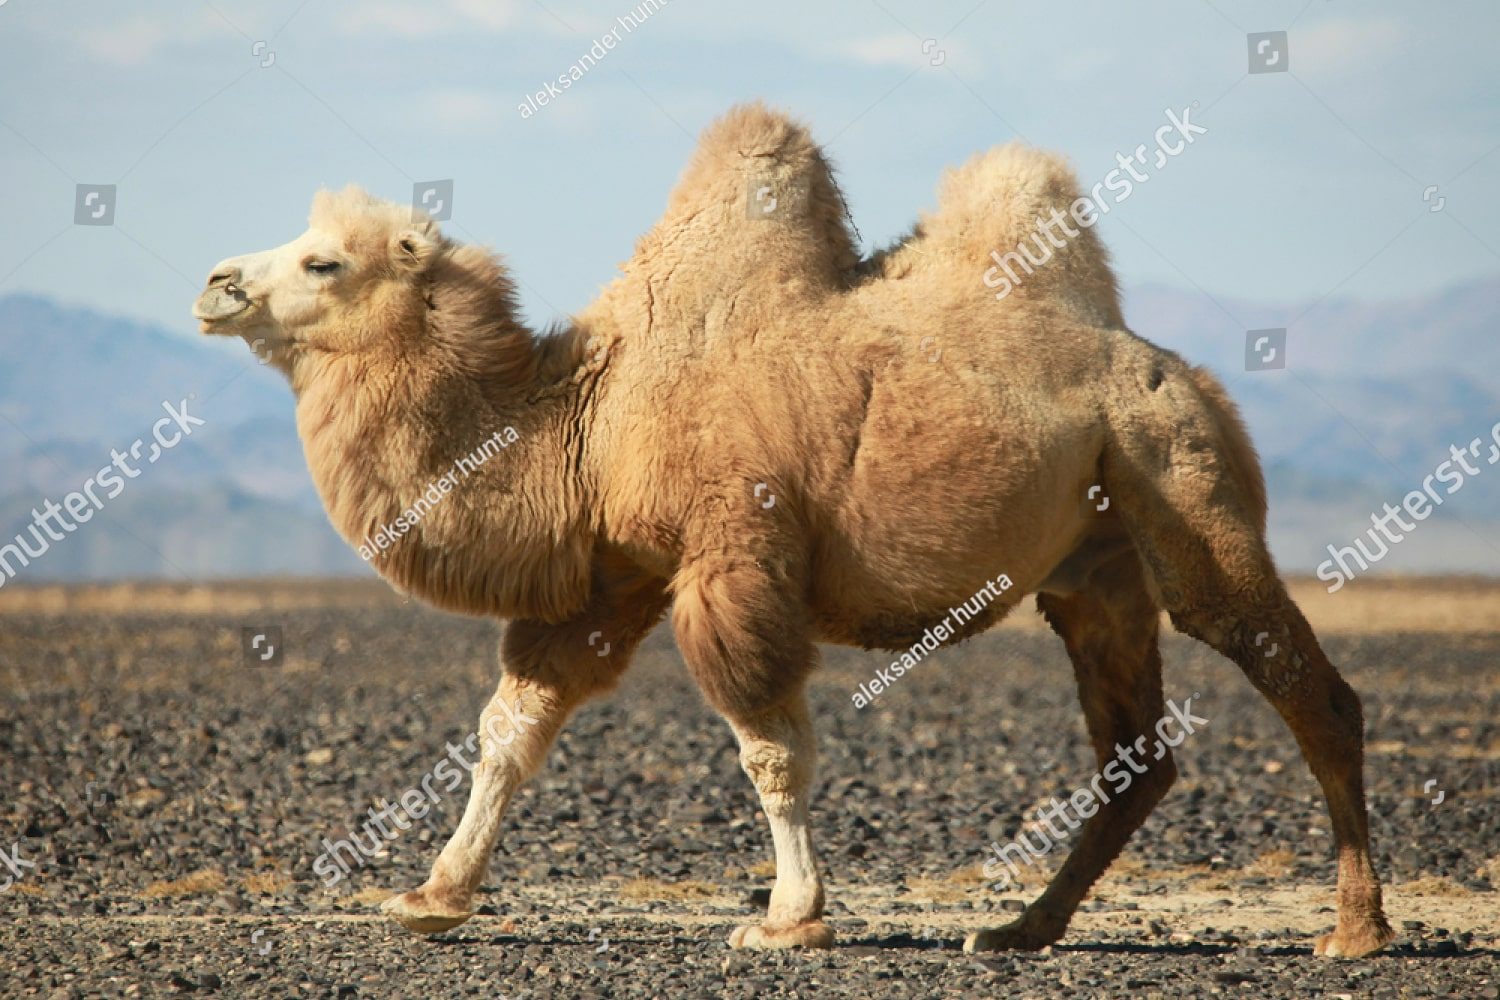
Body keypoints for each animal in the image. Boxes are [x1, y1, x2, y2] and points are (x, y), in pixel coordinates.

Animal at [191, 103, 1394, 958]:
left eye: (324, 261)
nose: (214, 282)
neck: (589, 417)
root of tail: (1177, 369)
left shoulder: (737, 549)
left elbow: (767, 741)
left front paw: (789, 916)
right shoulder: (616, 576)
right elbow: (513, 727)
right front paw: (434, 894)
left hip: (1180, 482)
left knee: (1304, 686)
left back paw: (1355, 930)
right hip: (1094, 568)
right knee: (1134, 754)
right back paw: (1019, 928)